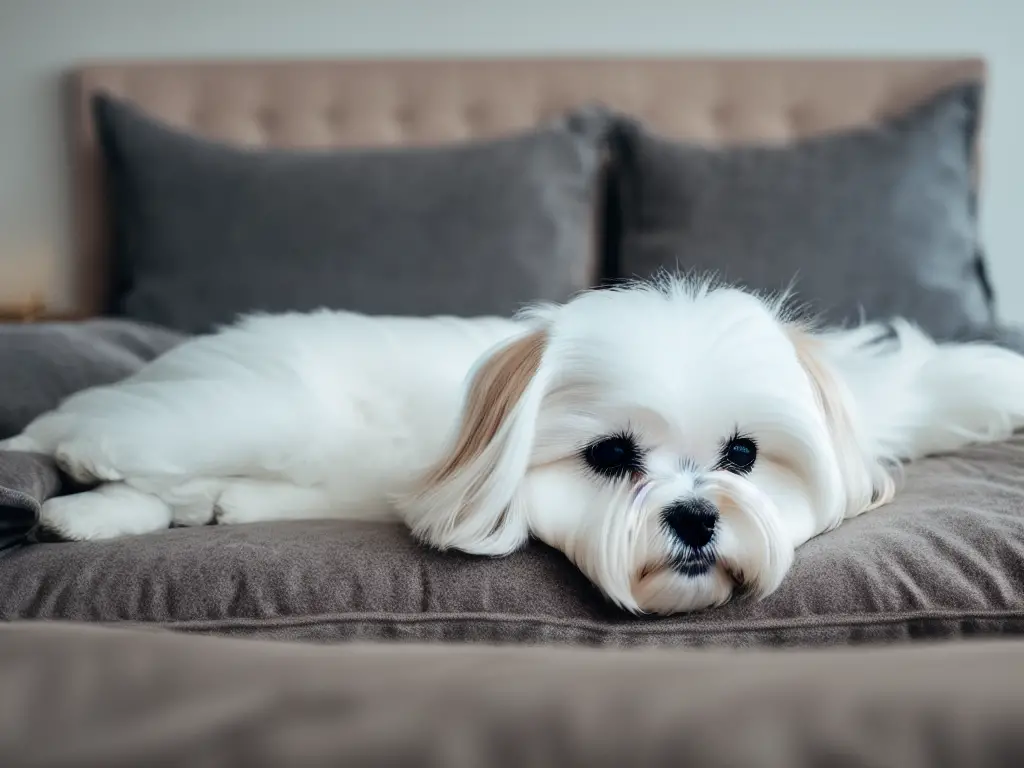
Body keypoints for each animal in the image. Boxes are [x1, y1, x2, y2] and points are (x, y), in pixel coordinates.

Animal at [2, 280, 1024, 618]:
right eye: (610, 456)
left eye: (742, 456)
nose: (697, 518)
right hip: (248, 407)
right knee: (91, 430)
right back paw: (70, 479)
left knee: (186, 491)